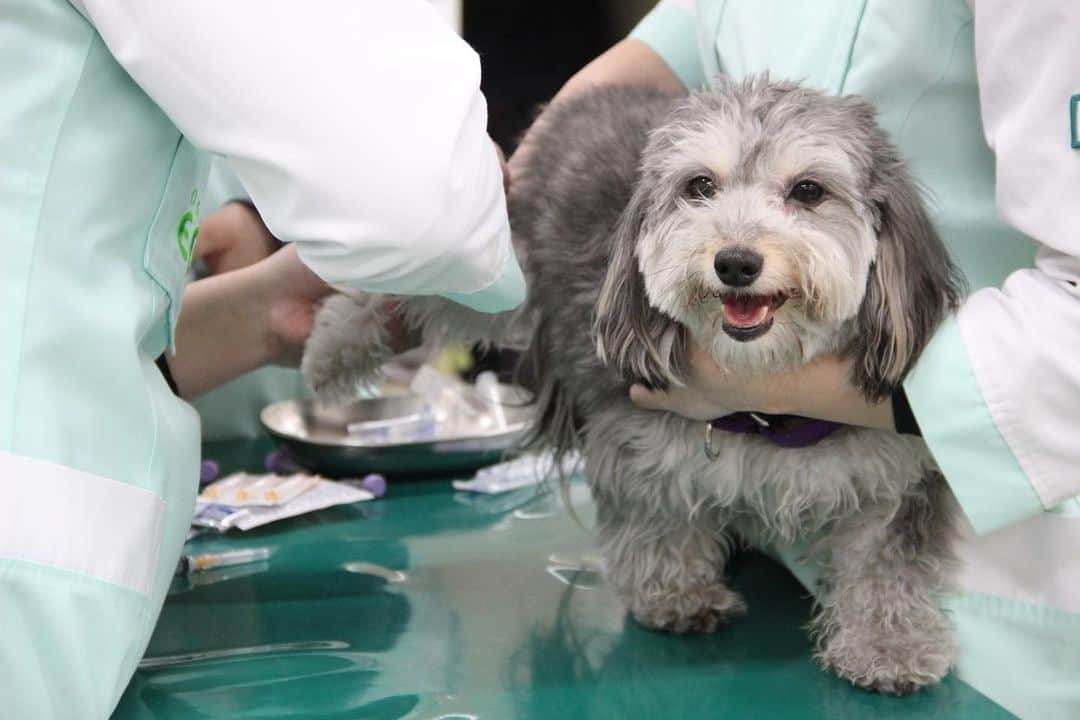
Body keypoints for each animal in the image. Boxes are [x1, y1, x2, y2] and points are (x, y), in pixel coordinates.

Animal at [302, 76, 963, 695]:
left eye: (808, 191)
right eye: (700, 187)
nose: (735, 262)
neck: (767, 398)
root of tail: (592, 97)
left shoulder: (898, 475)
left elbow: (887, 565)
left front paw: (888, 647)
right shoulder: (638, 442)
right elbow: (658, 520)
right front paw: (676, 595)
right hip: (500, 269)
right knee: (409, 285)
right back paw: (331, 351)